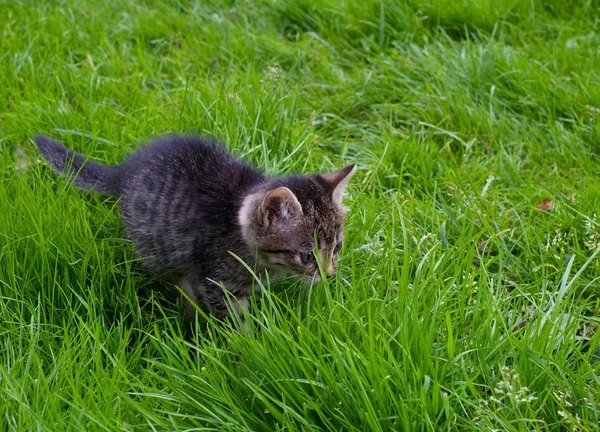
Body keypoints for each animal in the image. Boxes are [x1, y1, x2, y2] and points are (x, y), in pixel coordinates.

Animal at [36, 134, 356, 324]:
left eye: (337, 247)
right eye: (306, 256)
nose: (329, 274)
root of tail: (126, 172)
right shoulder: (219, 283)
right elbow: (234, 321)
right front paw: (246, 347)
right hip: (158, 248)